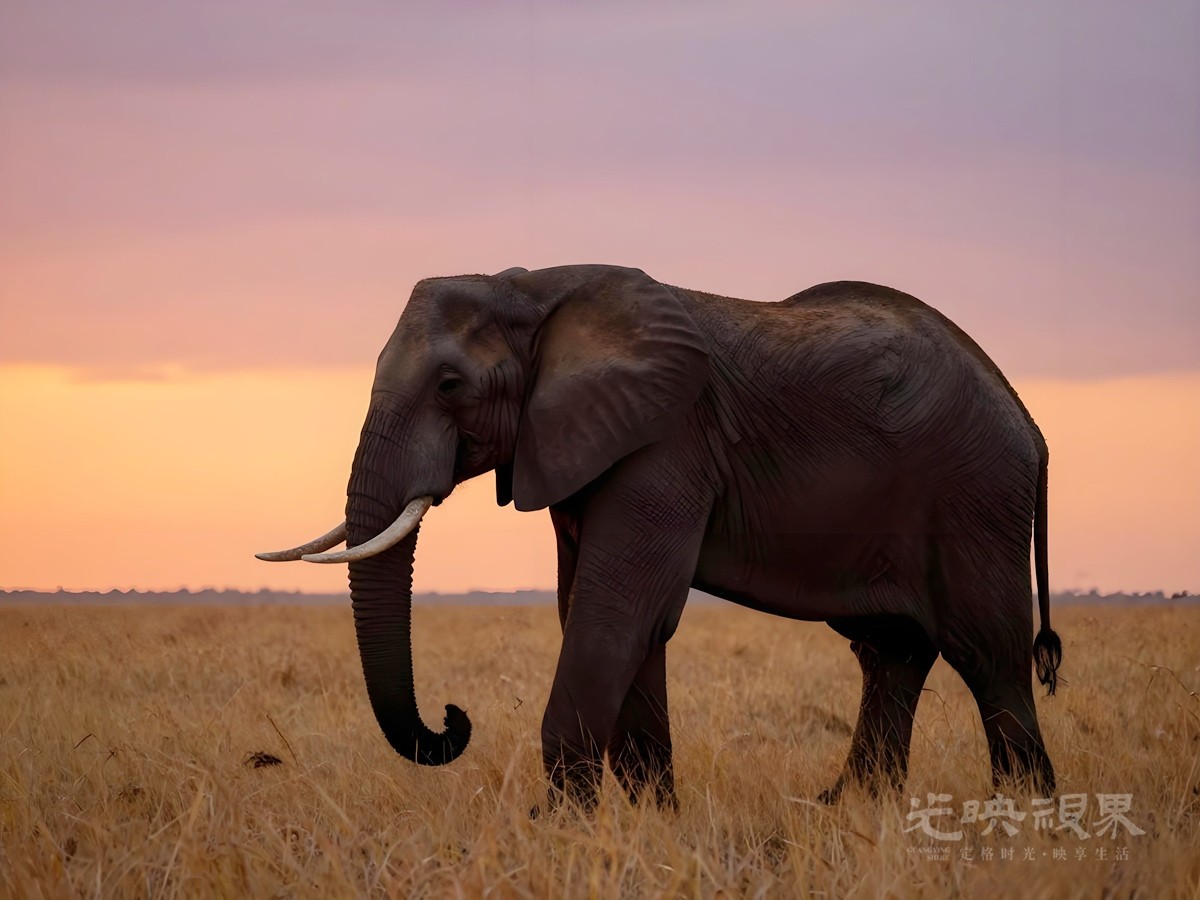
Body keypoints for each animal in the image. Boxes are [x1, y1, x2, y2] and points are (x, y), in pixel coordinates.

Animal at [258, 264, 1062, 808]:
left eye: (451, 386)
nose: (454, 717)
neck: (534, 289)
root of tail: (1029, 421)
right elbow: (609, 617)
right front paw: (653, 821)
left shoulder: (665, 443)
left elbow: (617, 616)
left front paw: (561, 829)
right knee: (891, 652)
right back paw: (848, 812)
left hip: (974, 492)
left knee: (986, 653)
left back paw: (1022, 815)